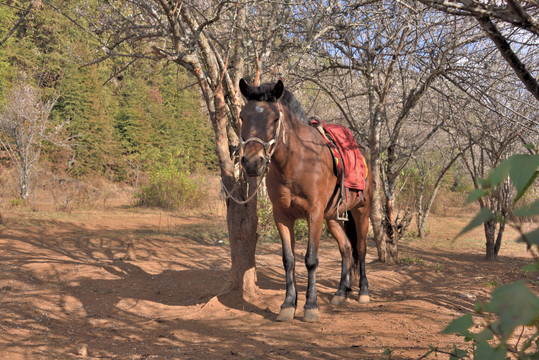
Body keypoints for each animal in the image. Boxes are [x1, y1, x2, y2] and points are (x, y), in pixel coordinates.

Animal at [238, 78, 374, 320]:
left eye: (275, 119)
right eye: (243, 116)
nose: (253, 162)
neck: (296, 164)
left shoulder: (314, 215)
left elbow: (311, 260)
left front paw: (310, 306)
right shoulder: (282, 217)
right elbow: (288, 260)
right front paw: (288, 305)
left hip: (361, 213)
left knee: (360, 248)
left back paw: (363, 292)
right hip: (333, 219)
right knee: (346, 248)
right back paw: (341, 292)